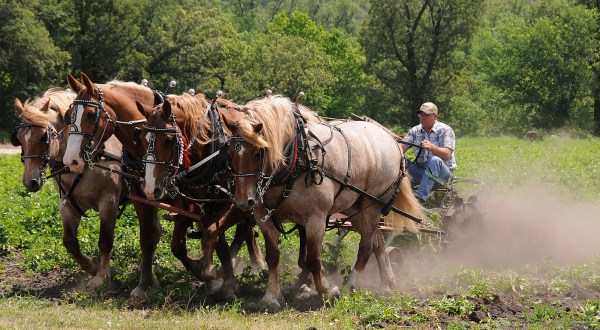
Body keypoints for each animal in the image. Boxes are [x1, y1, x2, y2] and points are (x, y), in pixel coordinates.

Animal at [11, 89, 127, 288]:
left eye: (43, 137)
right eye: (18, 138)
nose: (29, 182)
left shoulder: (109, 201)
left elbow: (105, 240)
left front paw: (101, 275)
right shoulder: (68, 203)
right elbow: (70, 242)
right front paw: (92, 265)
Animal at [136, 91, 268, 298]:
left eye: (168, 140)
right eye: (141, 137)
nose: (150, 188)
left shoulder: (228, 202)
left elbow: (215, 237)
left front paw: (221, 281)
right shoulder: (199, 205)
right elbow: (184, 244)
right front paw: (213, 276)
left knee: (244, 228)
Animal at [226, 96, 426, 308]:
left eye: (258, 152)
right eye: (229, 153)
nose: (244, 201)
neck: (297, 158)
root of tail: (390, 139)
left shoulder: (316, 217)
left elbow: (313, 259)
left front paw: (329, 291)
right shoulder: (263, 217)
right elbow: (272, 257)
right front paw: (271, 296)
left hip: (373, 205)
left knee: (366, 246)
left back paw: (351, 285)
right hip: (355, 208)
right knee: (377, 242)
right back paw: (387, 283)